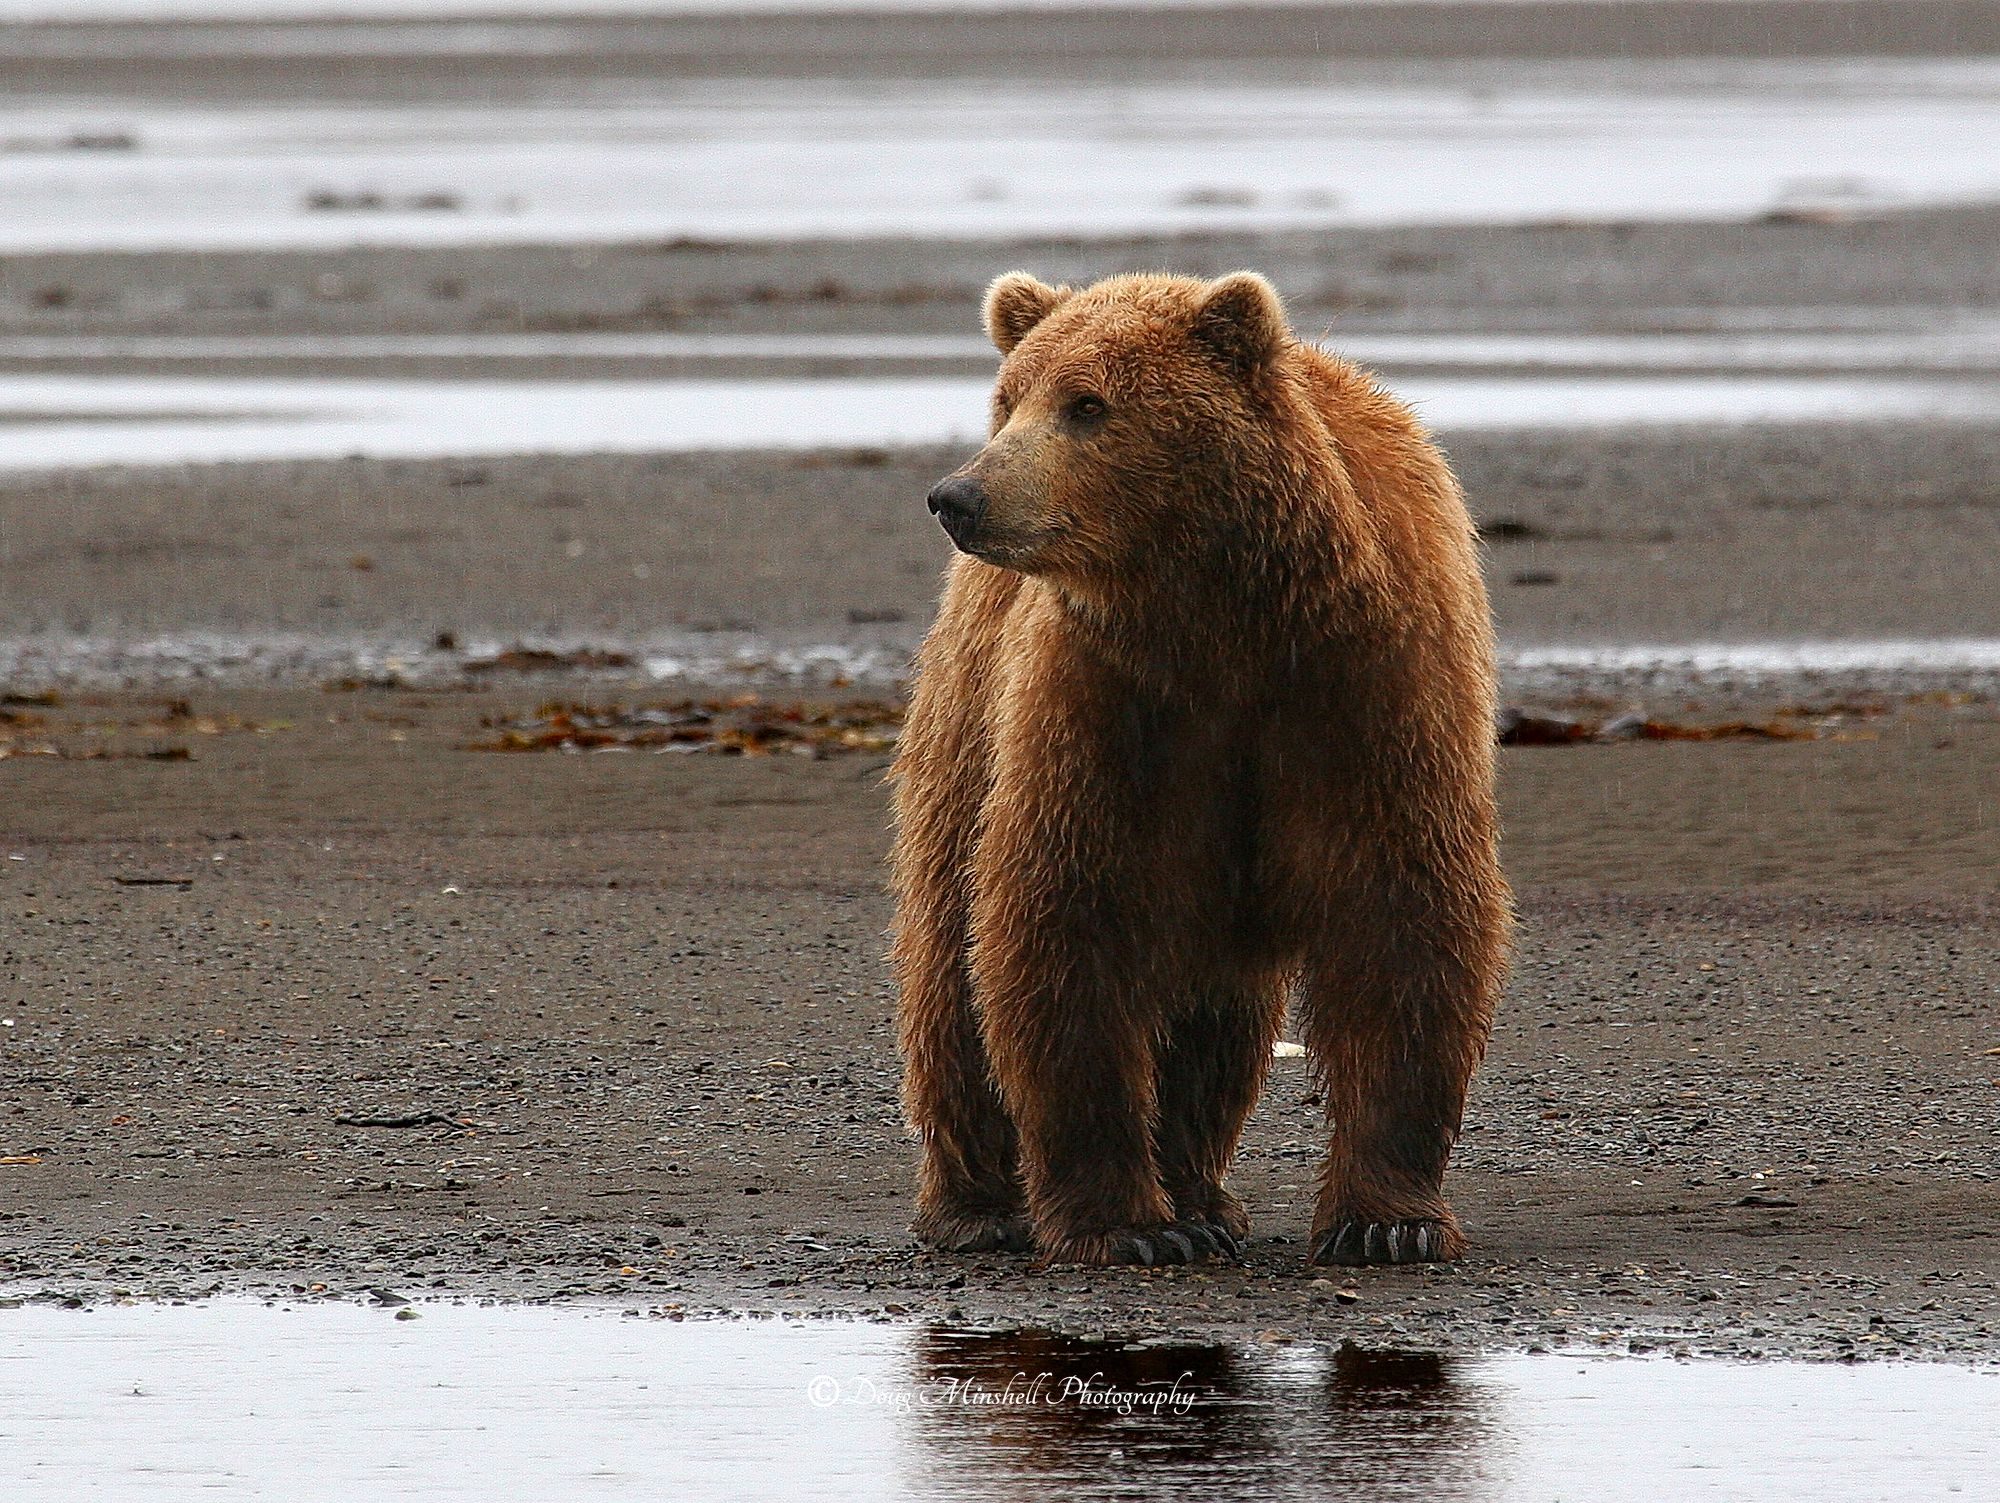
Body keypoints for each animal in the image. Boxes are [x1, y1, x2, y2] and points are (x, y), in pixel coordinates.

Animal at [889, 269, 1511, 1268]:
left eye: (1088, 403)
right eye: (1007, 398)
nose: (960, 496)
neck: (1225, 620)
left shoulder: (1370, 692)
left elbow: (1402, 916)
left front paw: (1389, 1219)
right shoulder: (1108, 708)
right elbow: (1064, 920)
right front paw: (1130, 1225)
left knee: (1216, 1016)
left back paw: (1201, 1190)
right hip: (968, 718)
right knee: (951, 961)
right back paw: (981, 1204)